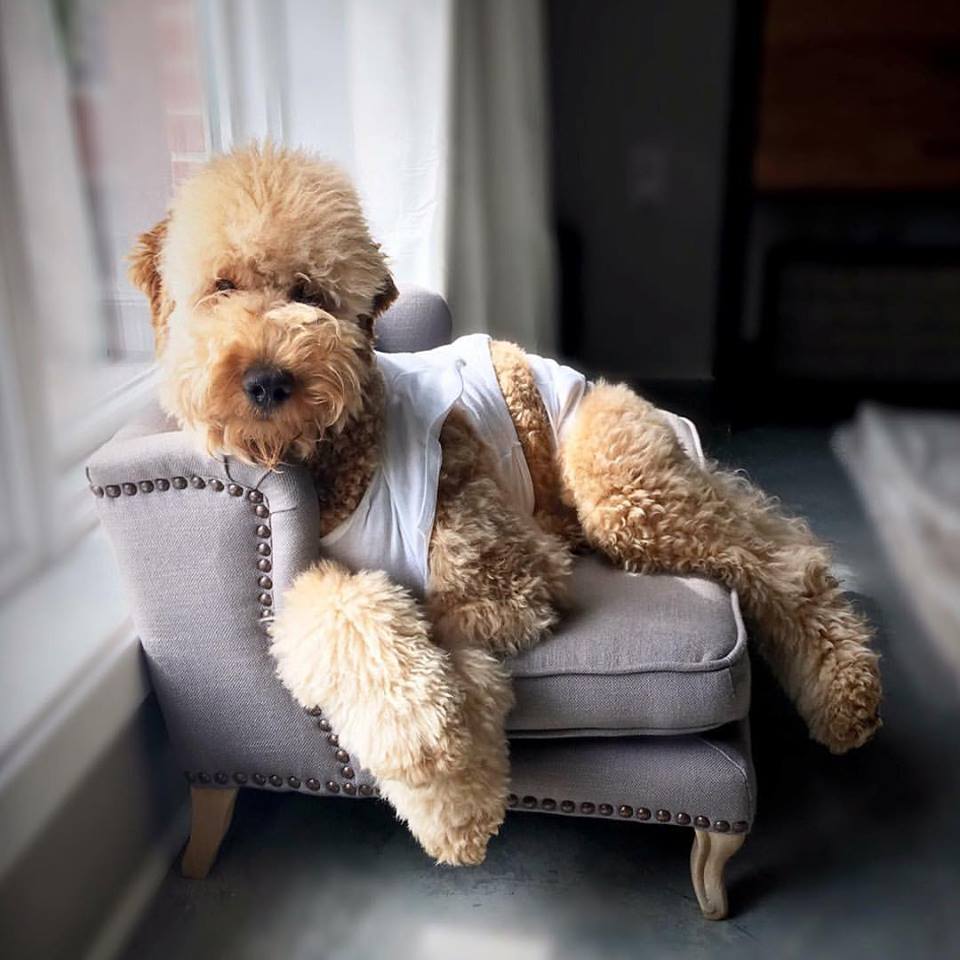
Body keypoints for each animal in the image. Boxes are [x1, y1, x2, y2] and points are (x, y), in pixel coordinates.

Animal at [131, 144, 880, 872]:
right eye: (222, 286)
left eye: (308, 293)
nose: (266, 381)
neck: (342, 453)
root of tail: (609, 389)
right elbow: (348, 612)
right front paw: (455, 792)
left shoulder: (509, 576)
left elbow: (432, 638)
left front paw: (443, 771)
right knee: (764, 534)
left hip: (620, 489)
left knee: (781, 560)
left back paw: (847, 696)